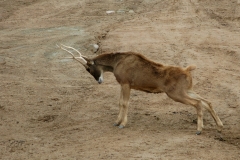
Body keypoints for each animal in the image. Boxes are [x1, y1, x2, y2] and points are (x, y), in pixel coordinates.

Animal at [57, 44, 223, 135]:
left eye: (88, 68)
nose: (99, 81)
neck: (116, 62)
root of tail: (188, 71)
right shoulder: (123, 84)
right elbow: (120, 103)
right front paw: (116, 121)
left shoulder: (126, 84)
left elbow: (125, 103)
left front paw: (122, 124)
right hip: (187, 90)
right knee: (207, 101)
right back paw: (220, 126)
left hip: (176, 94)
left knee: (198, 103)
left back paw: (199, 129)